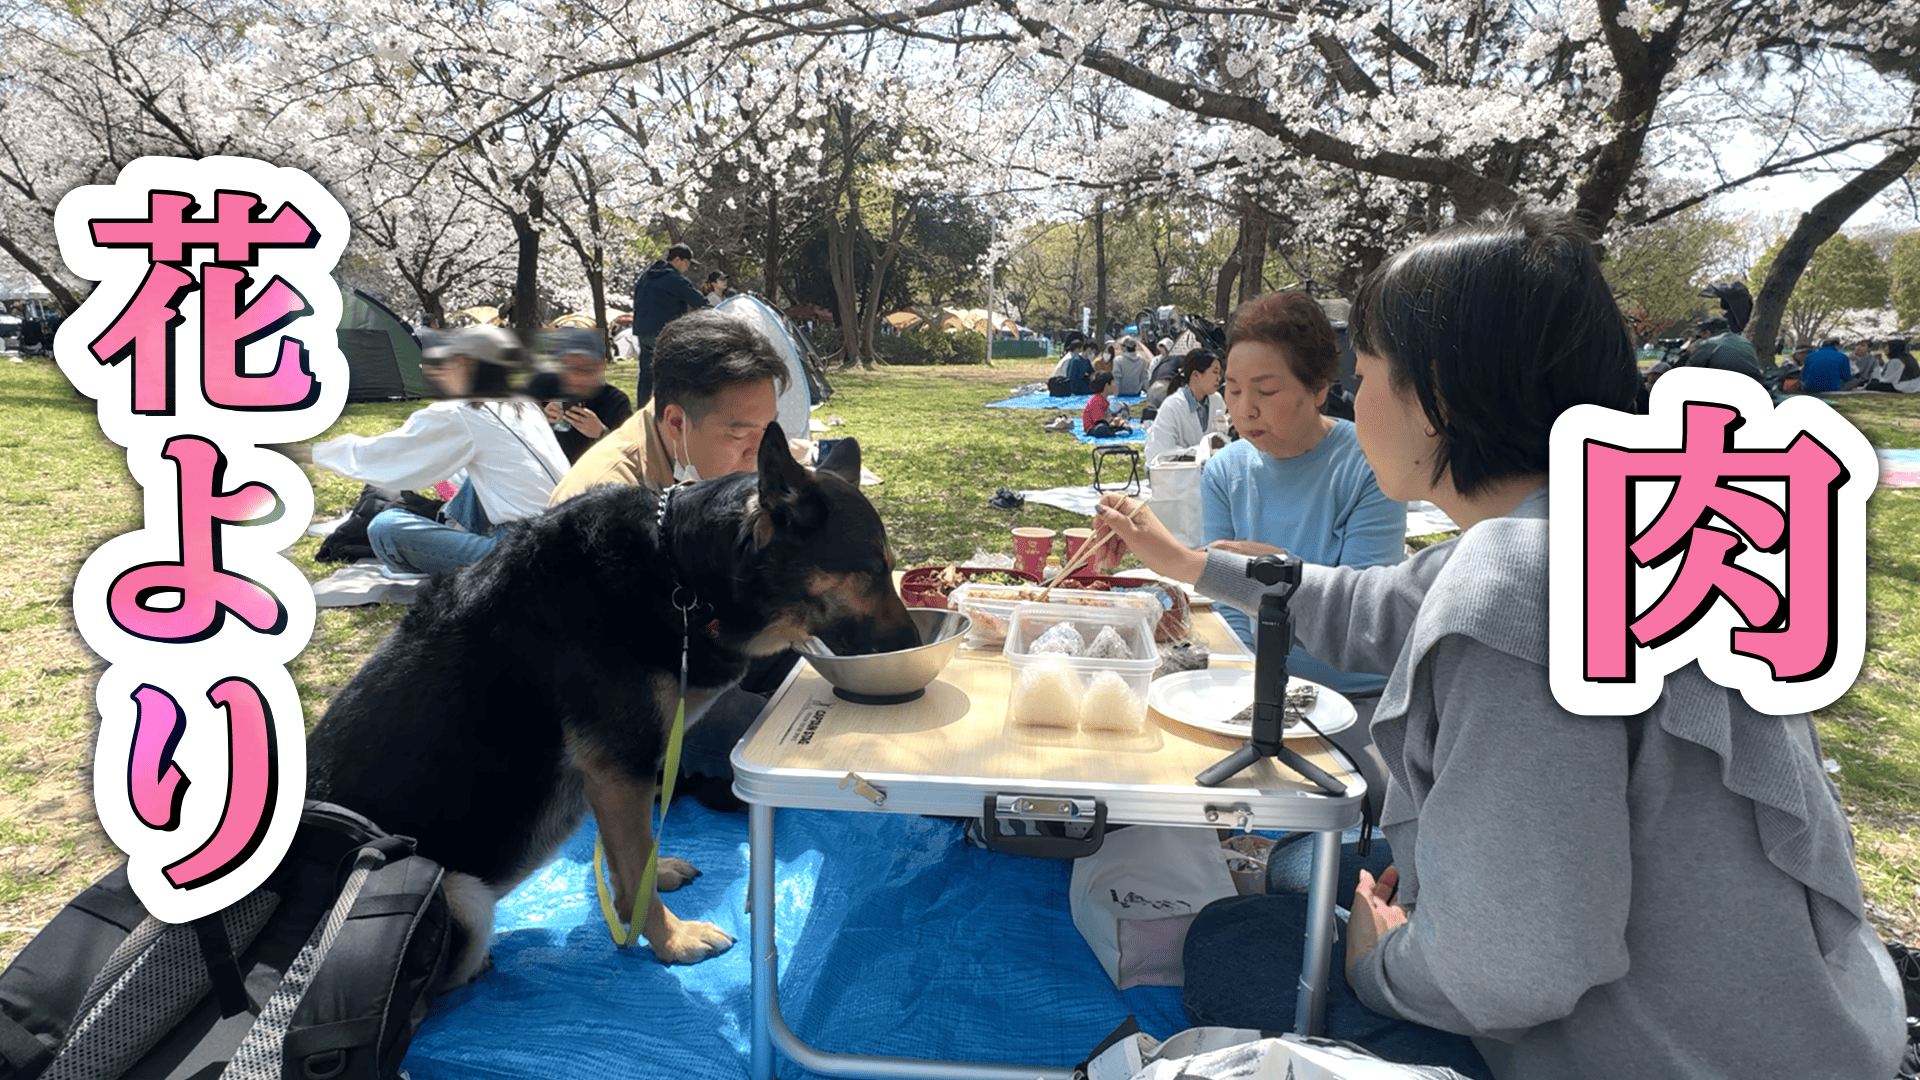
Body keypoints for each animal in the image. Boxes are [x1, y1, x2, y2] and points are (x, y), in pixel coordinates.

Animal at [305, 422, 919, 985]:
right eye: (871, 569)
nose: (914, 648)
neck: (683, 574)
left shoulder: (617, 771)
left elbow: (629, 855)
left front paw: (647, 888)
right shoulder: (618, 765)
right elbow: (631, 853)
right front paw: (670, 940)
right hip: (459, 896)